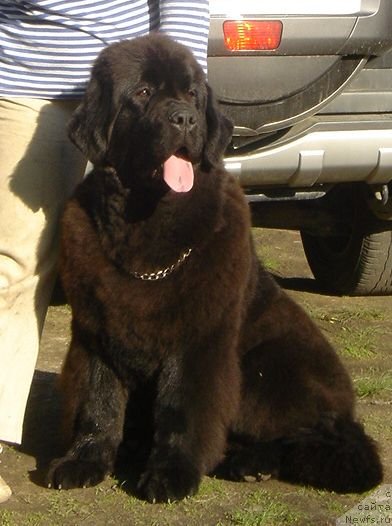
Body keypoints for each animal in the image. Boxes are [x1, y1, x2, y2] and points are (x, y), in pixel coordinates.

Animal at [46, 33, 382, 504]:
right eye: (143, 93)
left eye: (191, 94)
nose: (185, 119)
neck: (145, 230)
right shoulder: (96, 331)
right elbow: (97, 400)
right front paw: (84, 460)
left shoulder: (198, 339)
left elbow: (180, 408)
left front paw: (171, 473)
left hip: (269, 368)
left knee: (305, 435)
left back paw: (252, 463)